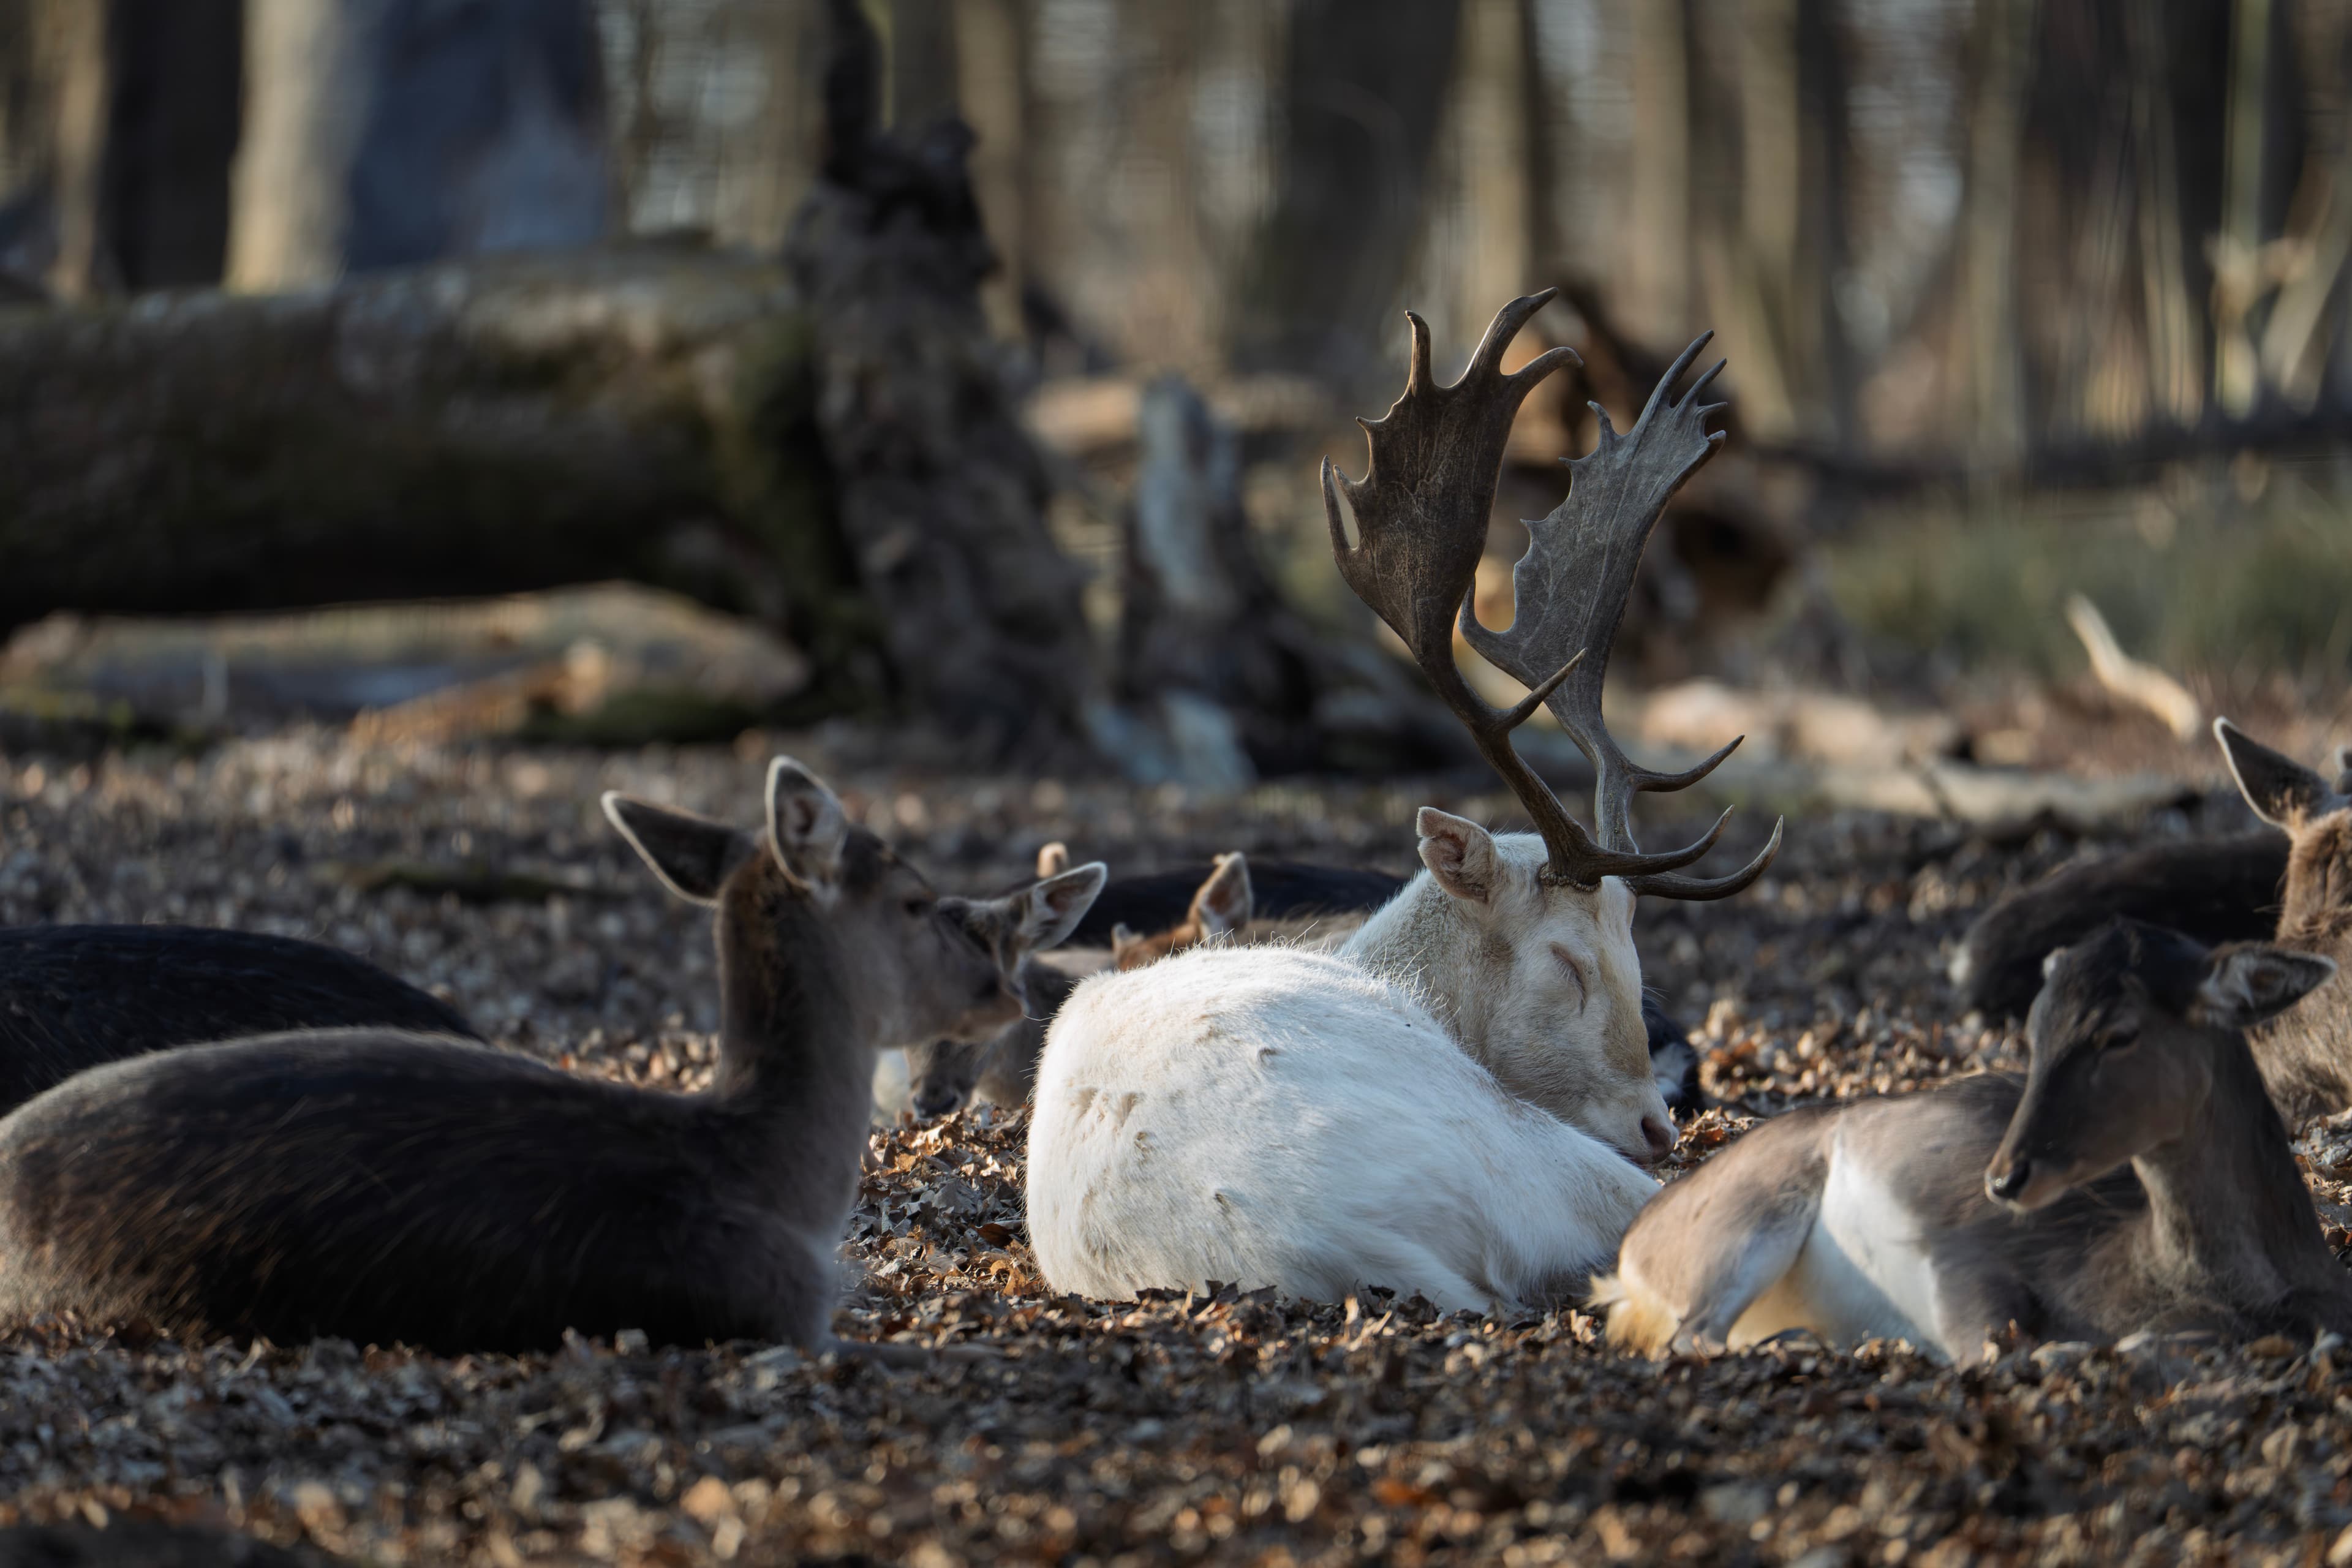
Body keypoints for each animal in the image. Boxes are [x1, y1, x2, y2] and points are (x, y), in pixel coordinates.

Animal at [1600, 920, 2346, 1361]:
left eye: (2119, 1032)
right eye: (2035, 1027)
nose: (2006, 1177)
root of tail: (1626, 1262)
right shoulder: (1968, 1262)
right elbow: (2009, 1343)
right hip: (1745, 1219)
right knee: (1691, 1337)